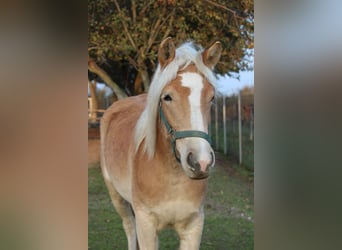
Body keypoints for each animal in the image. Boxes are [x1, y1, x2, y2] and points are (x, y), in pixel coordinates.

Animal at [99, 37, 222, 250]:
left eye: (212, 98)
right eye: (167, 97)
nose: (201, 162)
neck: (172, 177)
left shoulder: (194, 227)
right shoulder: (146, 226)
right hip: (117, 198)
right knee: (129, 228)